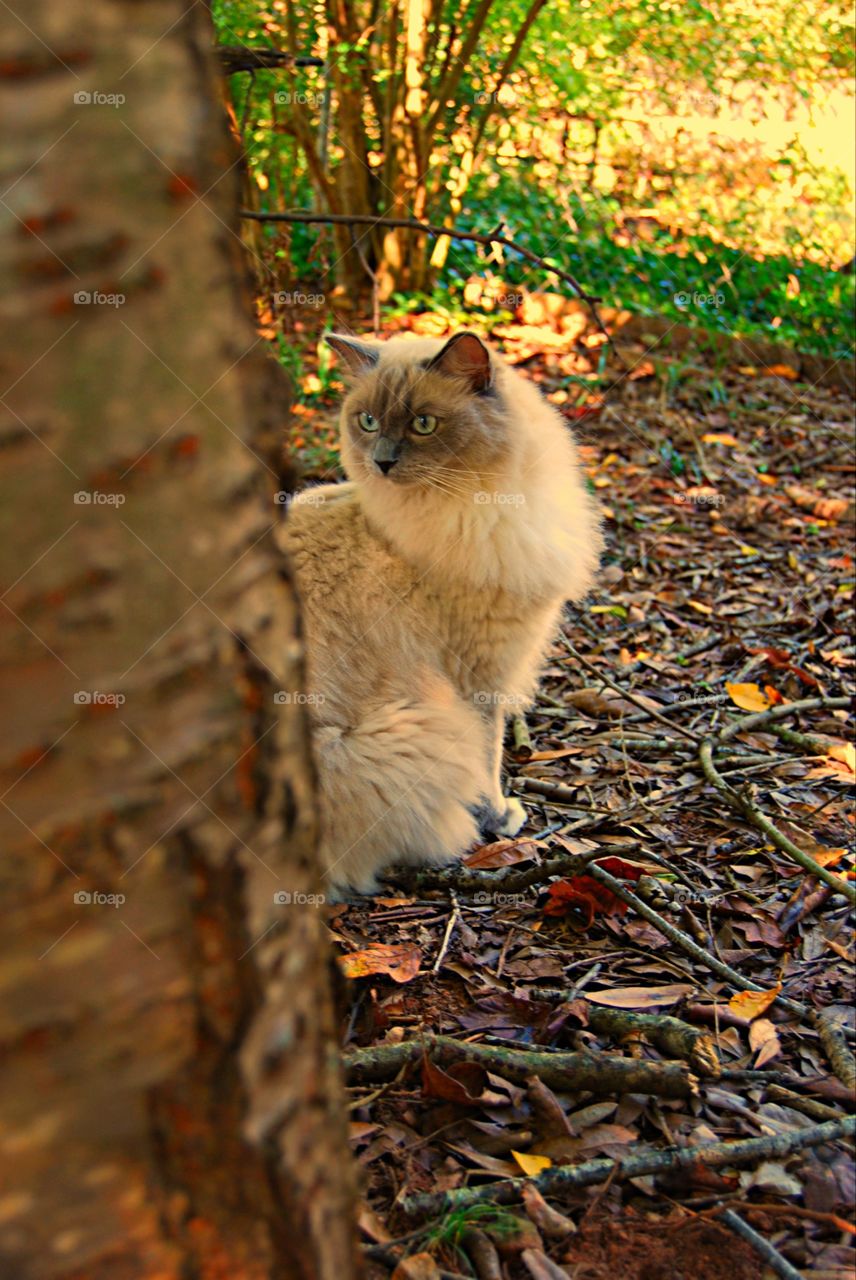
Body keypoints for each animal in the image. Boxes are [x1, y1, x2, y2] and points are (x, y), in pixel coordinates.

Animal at [278, 330, 601, 896]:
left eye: (423, 424)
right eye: (369, 422)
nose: (382, 462)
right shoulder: (481, 678)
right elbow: (491, 756)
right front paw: (499, 815)